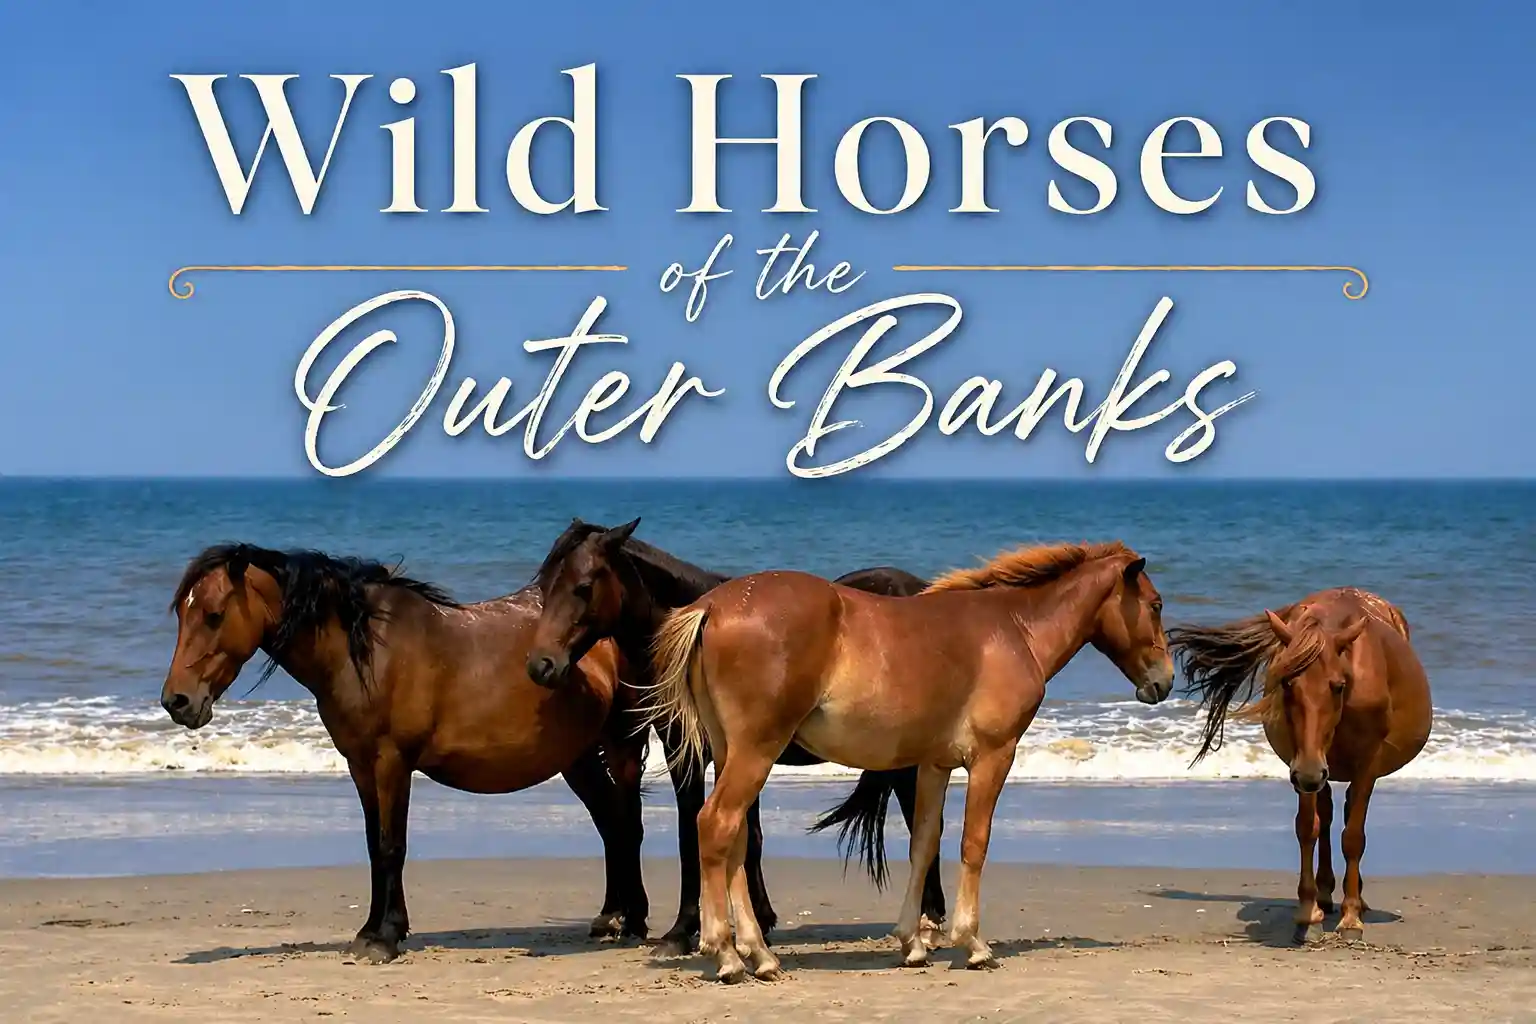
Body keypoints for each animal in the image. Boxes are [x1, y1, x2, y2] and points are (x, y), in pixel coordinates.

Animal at [158, 542, 655, 964]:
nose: (176, 701)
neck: (367, 653)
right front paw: (371, 931)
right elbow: (373, 846)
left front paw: (386, 937)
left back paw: (634, 920)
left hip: (622, 746)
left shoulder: (391, 762)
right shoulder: (360, 766)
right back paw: (610, 916)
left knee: (627, 825)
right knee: (610, 825)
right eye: (183, 614)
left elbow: (391, 845)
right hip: (578, 758)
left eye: (214, 615)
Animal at [524, 517, 949, 957]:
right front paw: (758, 923)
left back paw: (930, 922)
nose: (541, 665)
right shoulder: (715, 754)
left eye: (583, 586)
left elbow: (692, 834)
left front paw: (682, 931)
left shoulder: (693, 758)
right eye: (545, 587)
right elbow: (747, 838)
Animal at [644, 540, 1173, 982]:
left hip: (731, 752)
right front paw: (972, 944)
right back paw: (727, 955)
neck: (1012, 629)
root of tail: (713, 606)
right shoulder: (992, 757)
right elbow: (973, 843)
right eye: (1155, 604)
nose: (1164, 682)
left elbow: (924, 844)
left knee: (732, 839)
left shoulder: (933, 765)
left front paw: (912, 944)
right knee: (716, 825)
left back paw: (761, 955)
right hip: (756, 751)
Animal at [1168, 587, 1432, 944]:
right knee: (1328, 814)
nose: (1309, 773)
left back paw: (1355, 901)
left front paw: (1351, 919)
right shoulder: (1302, 764)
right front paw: (1308, 916)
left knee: (1346, 814)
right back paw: (1325, 895)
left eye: (1338, 685)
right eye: (1287, 684)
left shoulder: (1365, 764)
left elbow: (1353, 837)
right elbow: (1309, 828)